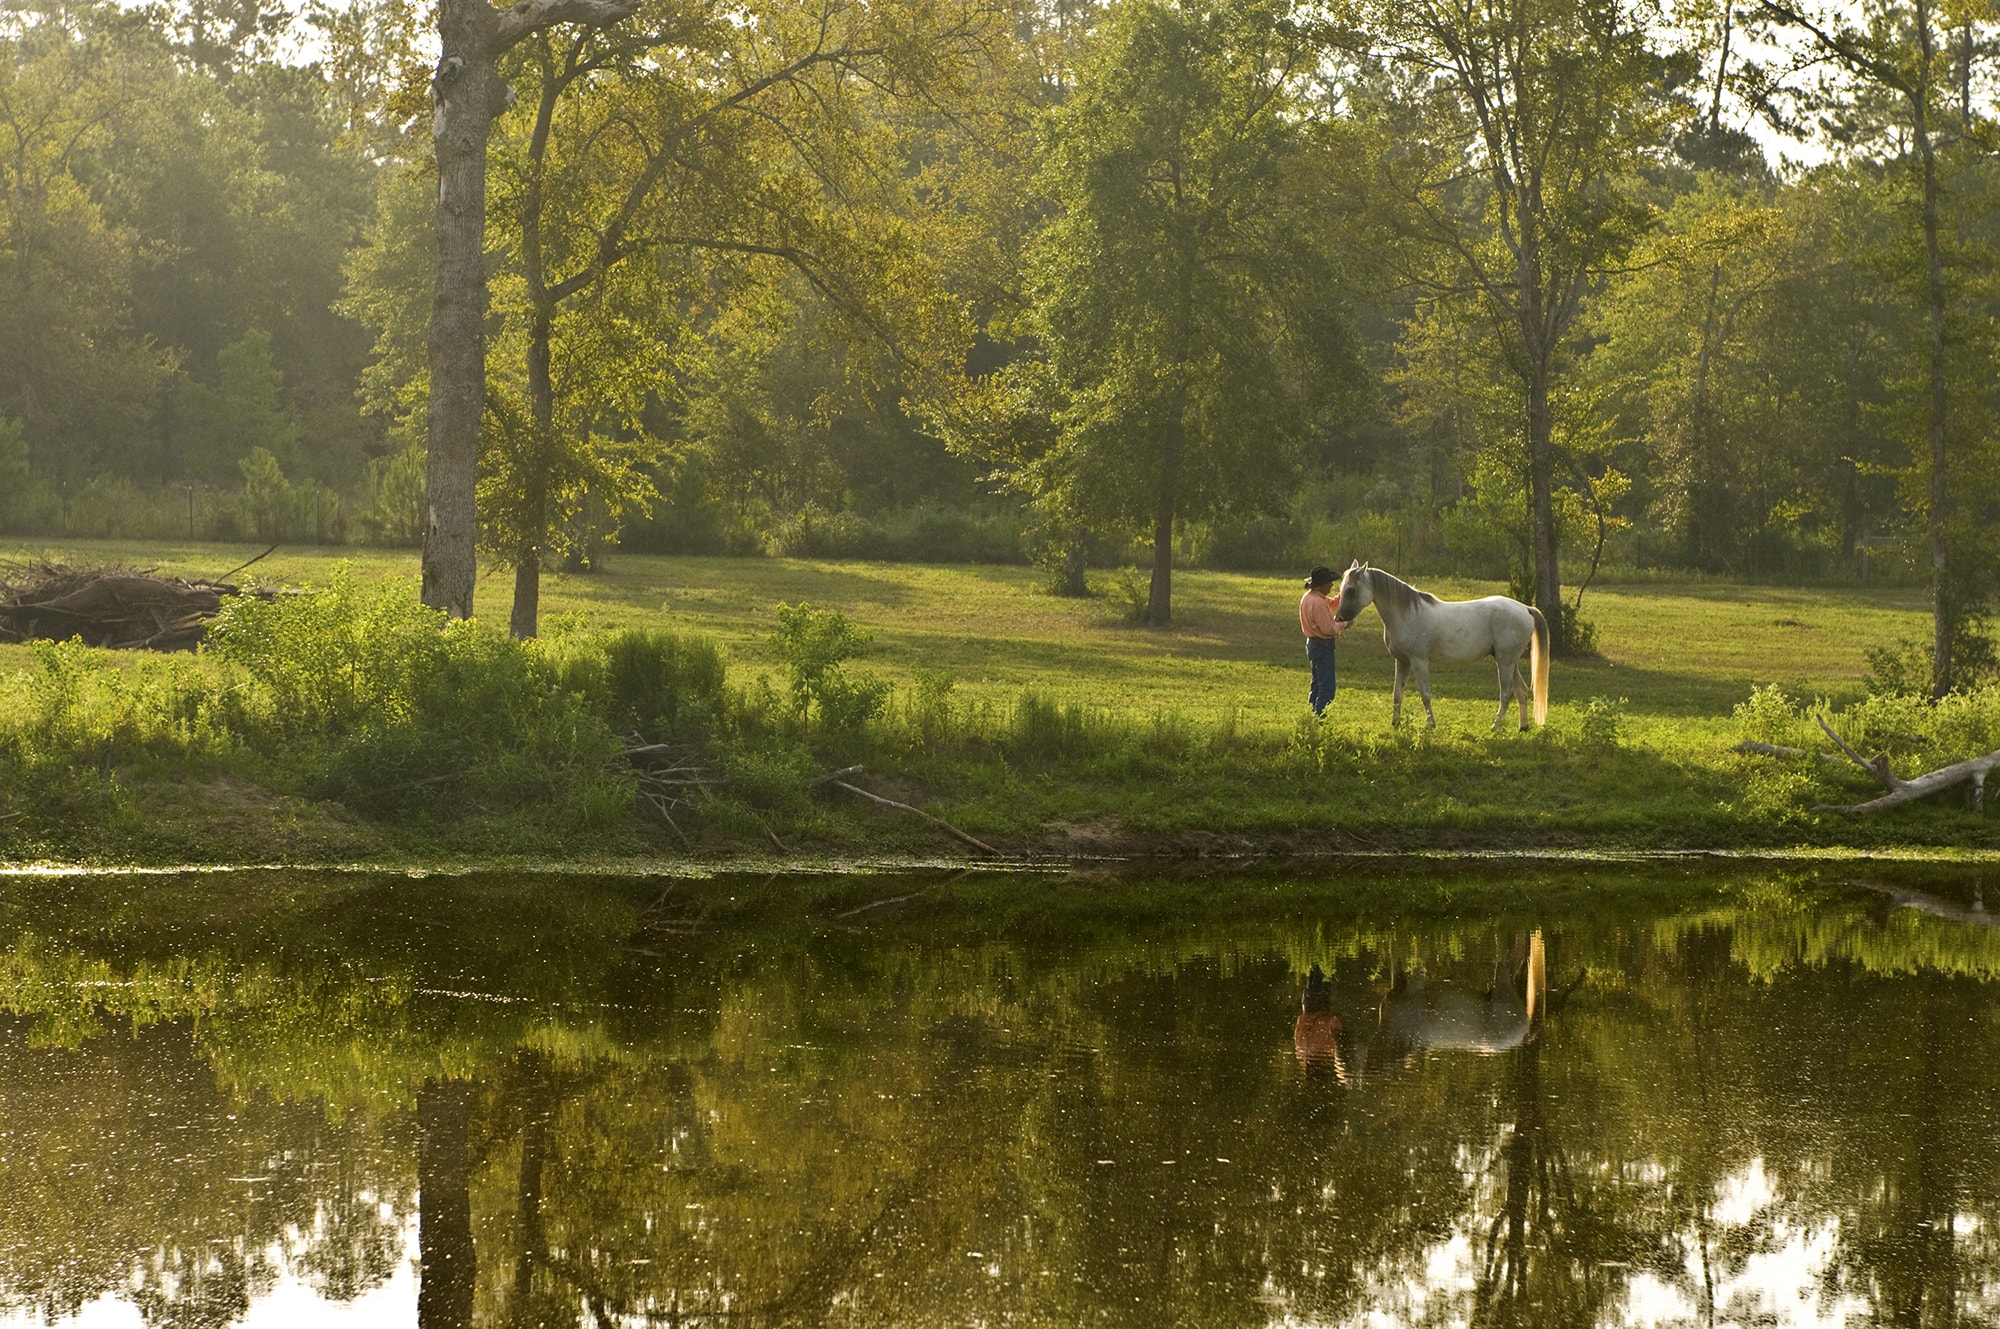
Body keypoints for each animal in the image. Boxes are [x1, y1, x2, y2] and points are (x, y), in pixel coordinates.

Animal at [1336, 556, 1552, 732]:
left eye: (1351, 590)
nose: (1339, 618)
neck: (1406, 613)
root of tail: (1525, 608)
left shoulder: (1419, 661)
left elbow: (1425, 694)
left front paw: (1430, 724)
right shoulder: (1402, 661)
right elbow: (1397, 693)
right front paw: (1395, 722)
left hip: (1505, 662)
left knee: (1506, 694)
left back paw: (1496, 726)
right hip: (1510, 662)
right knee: (1521, 691)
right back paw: (1523, 727)